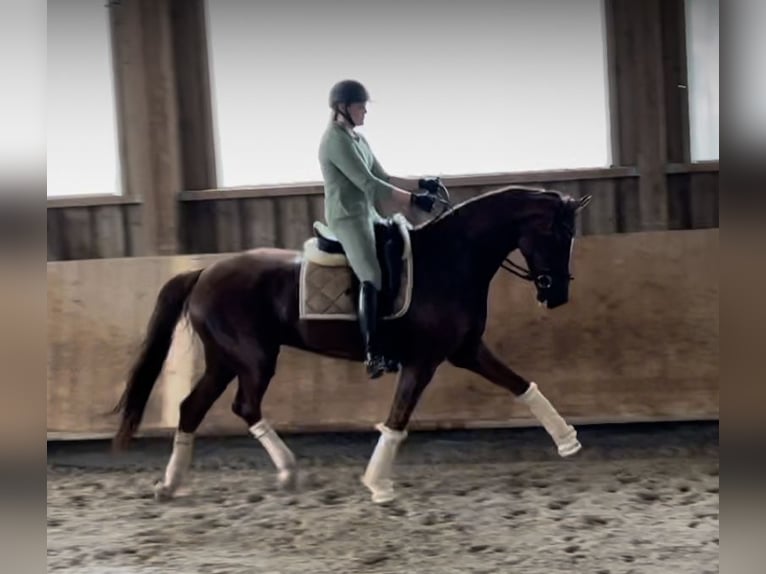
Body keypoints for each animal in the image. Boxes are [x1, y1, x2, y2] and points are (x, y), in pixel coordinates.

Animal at [112, 186, 592, 504]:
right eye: (555, 235)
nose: (558, 295)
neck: (452, 260)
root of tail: (204, 273)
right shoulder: (424, 360)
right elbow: (398, 417)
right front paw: (378, 484)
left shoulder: (466, 350)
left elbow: (521, 384)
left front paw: (567, 440)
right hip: (253, 358)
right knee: (243, 406)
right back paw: (288, 472)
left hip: (224, 359)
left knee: (192, 407)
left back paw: (172, 484)